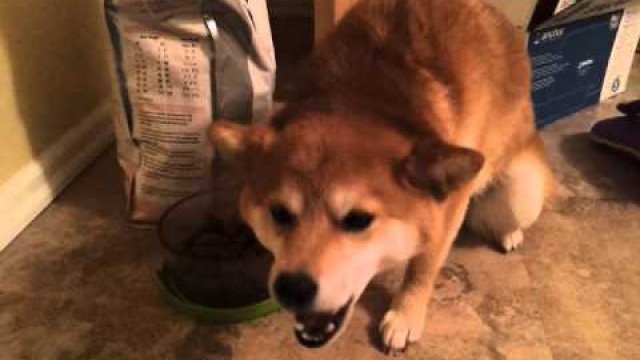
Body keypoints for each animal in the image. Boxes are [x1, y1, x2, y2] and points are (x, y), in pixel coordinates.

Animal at [212, 0, 552, 354]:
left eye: (358, 220)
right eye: (279, 213)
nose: (291, 288)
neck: (360, 96)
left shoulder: (450, 206)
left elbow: (423, 266)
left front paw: (406, 314)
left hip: (521, 193)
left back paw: (509, 232)